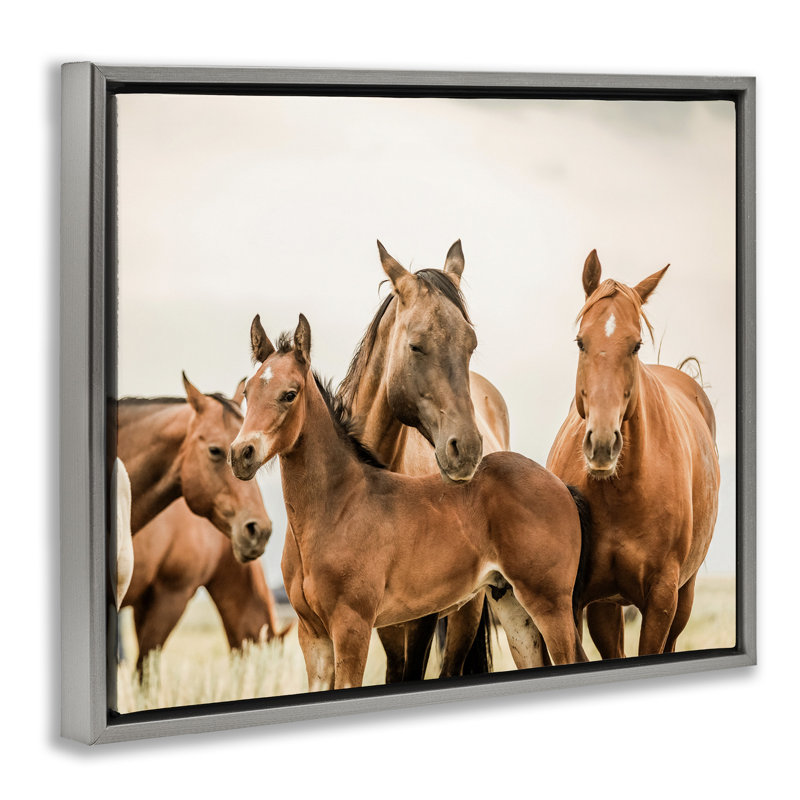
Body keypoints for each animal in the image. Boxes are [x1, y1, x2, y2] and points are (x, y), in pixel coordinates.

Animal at [230, 314, 587, 690]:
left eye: (290, 394)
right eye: (247, 392)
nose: (241, 454)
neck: (337, 507)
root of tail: (560, 485)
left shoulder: (352, 627)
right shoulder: (312, 636)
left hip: (549, 603)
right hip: (512, 605)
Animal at [546, 250, 720, 657]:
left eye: (636, 345)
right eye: (580, 342)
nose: (602, 445)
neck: (620, 494)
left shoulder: (662, 599)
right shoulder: (578, 600)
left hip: (683, 597)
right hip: (607, 607)